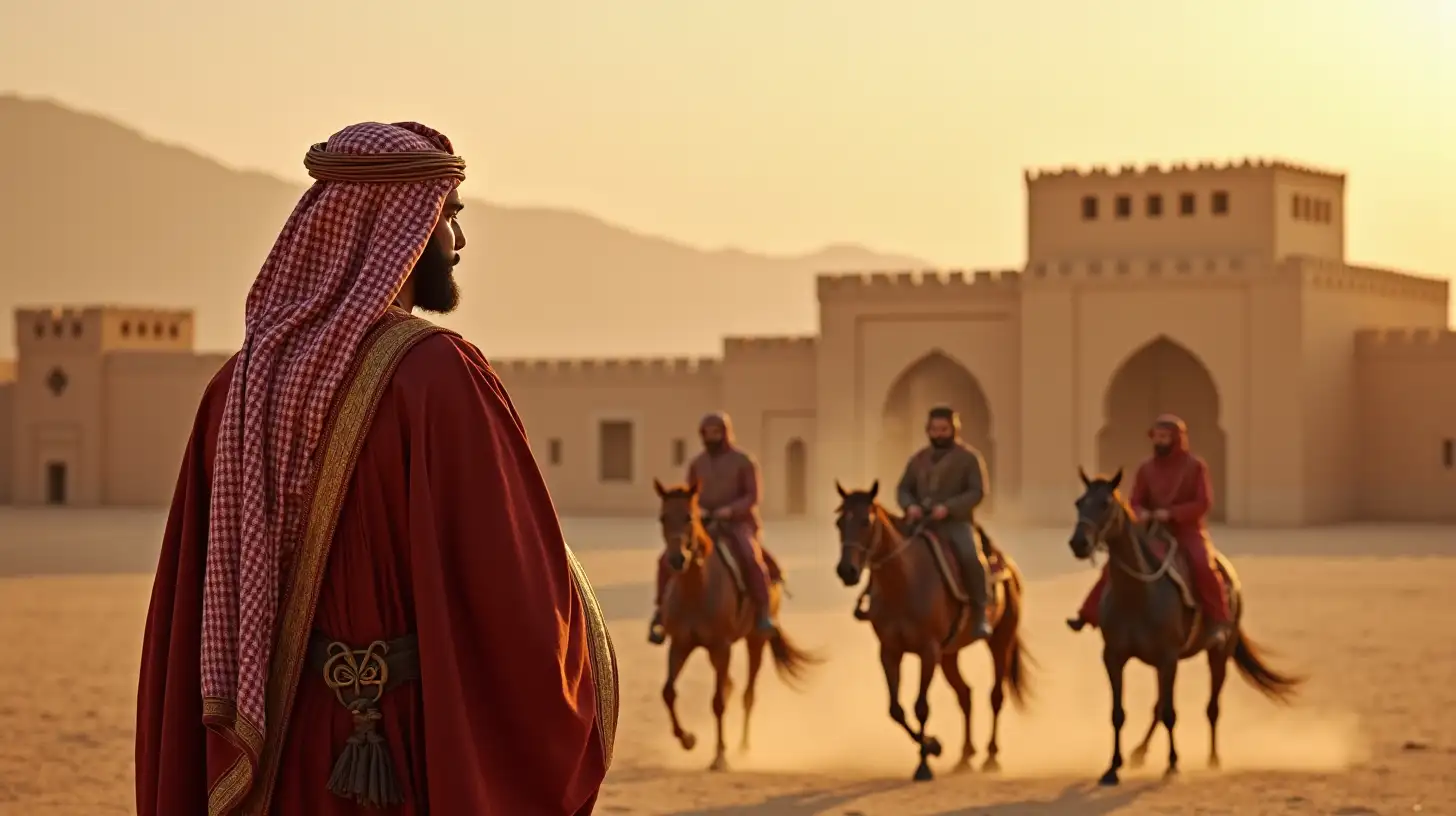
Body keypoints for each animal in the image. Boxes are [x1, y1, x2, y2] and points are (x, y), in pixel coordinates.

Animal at [652, 477, 821, 769]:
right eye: (663, 517)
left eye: (688, 517)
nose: (676, 559)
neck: (696, 589)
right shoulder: (681, 644)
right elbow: (668, 692)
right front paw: (687, 739)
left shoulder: (722, 647)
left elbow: (718, 701)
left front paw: (720, 755)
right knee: (729, 685)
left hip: (755, 642)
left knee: (747, 693)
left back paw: (743, 747)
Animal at [832, 480, 1036, 781]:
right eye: (839, 522)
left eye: (865, 521)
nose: (847, 570)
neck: (904, 583)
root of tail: (1006, 562)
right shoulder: (890, 652)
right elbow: (896, 709)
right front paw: (934, 746)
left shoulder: (928, 652)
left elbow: (920, 707)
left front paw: (924, 764)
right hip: (949, 655)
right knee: (965, 695)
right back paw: (965, 757)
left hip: (1001, 640)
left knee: (996, 695)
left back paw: (991, 757)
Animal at [1071, 469, 1310, 786]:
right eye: (1079, 502)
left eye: (1105, 504)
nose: (1079, 543)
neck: (1138, 595)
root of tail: (1230, 576)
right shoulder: (1114, 657)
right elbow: (1119, 713)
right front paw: (1112, 768)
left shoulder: (1168, 658)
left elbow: (1171, 713)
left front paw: (1173, 764)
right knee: (1158, 706)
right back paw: (1139, 752)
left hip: (1218, 653)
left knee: (1211, 707)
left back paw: (1213, 759)